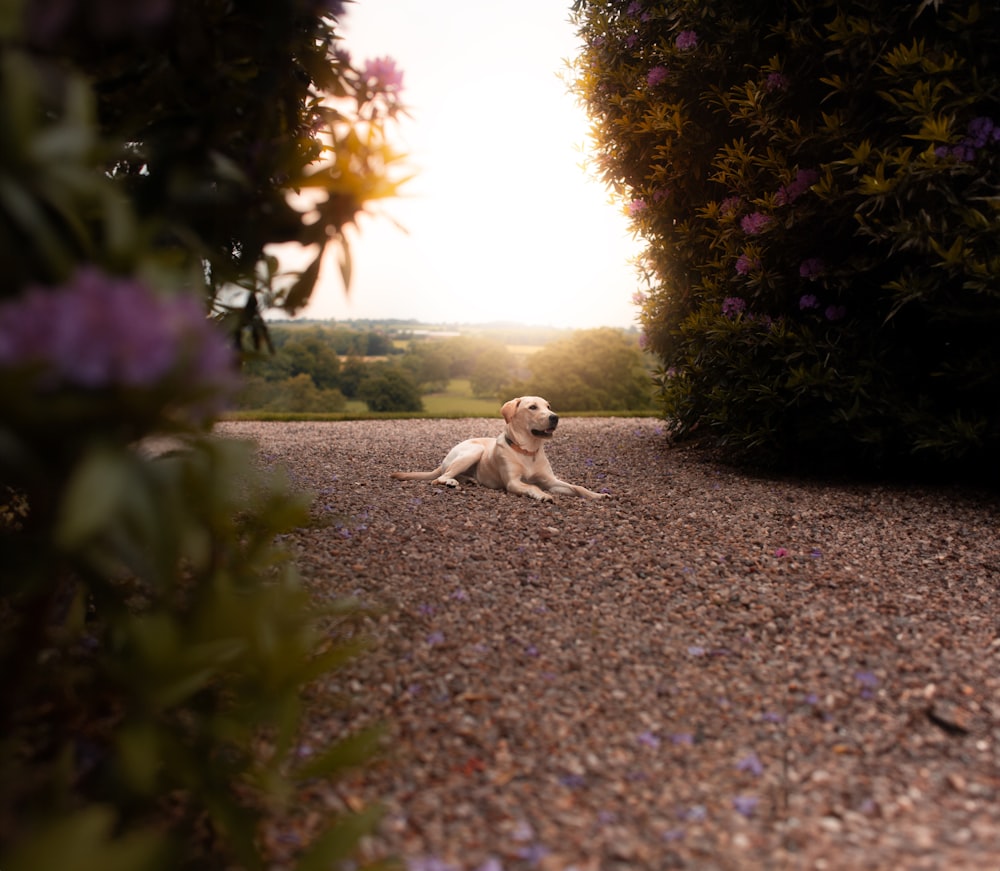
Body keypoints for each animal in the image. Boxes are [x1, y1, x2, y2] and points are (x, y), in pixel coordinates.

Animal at [390, 396, 608, 504]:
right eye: (533, 407)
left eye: (548, 406)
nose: (555, 417)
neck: (527, 451)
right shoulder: (513, 482)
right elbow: (533, 487)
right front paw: (543, 496)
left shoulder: (551, 481)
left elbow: (577, 487)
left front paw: (597, 495)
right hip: (474, 451)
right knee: (440, 478)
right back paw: (452, 482)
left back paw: (469, 480)